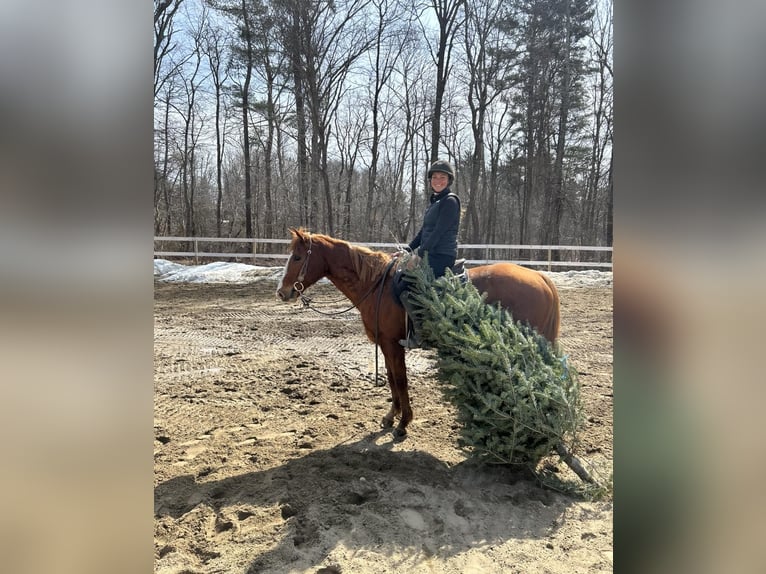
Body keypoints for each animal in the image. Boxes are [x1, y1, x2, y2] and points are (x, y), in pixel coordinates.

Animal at [276, 227, 561, 438]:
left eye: (298, 257)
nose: (282, 292)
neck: (376, 284)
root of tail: (540, 277)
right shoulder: (385, 344)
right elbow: (391, 379)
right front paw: (390, 417)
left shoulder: (394, 344)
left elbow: (401, 380)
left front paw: (403, 423)